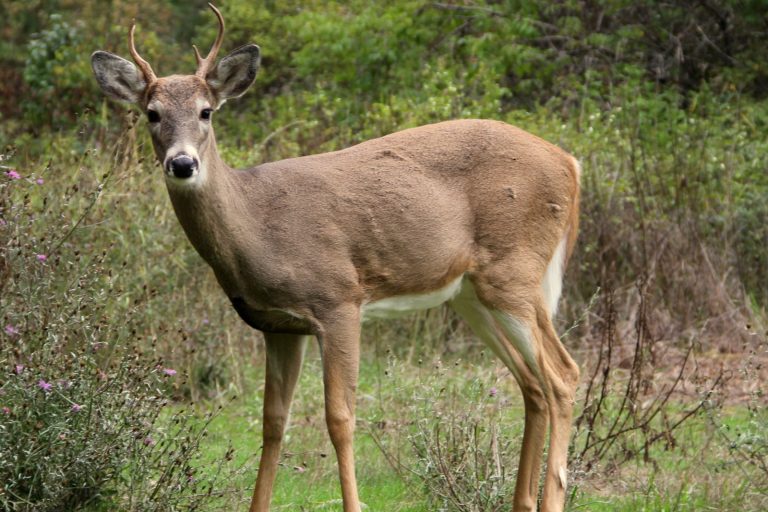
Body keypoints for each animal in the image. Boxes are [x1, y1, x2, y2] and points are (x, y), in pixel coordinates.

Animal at [91, 4, 581, 512]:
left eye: (206, 111)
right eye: (152, 113)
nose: (183, 164)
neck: (257, 223)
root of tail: (570, 163)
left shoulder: (338, 299)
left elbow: (340, 418)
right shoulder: (279, 325)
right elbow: (273, 423)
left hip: (514, 272)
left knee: (564, 376)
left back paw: (552, 495)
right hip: (470, 294)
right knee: (532, 384)